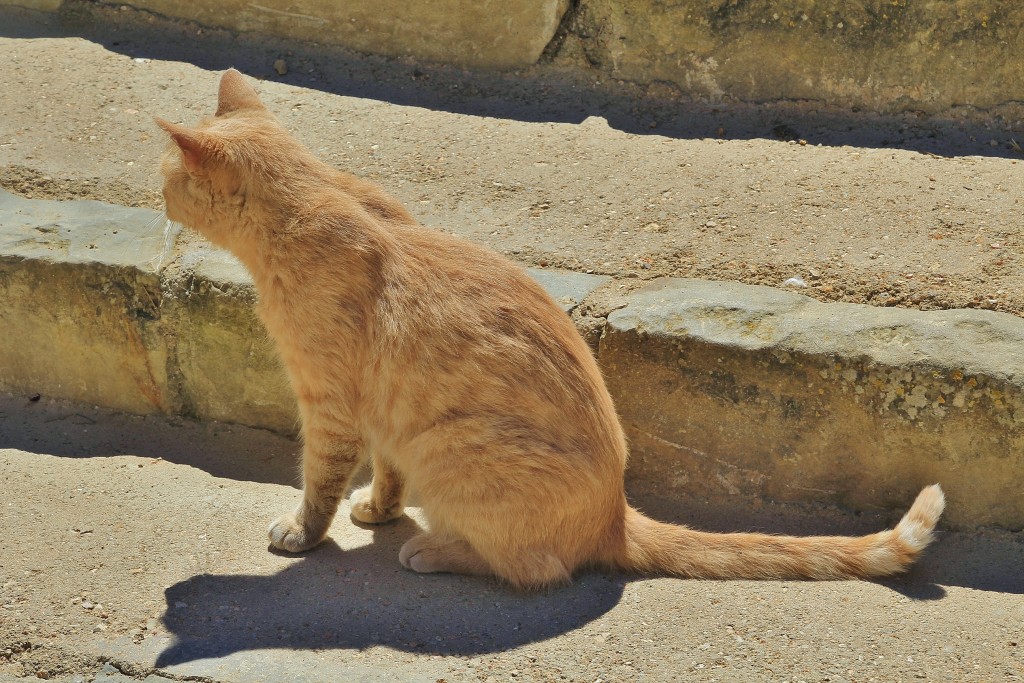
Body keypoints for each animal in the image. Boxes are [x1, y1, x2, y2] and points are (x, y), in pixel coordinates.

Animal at [155, 70, 946, 593]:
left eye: (165, 176)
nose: (154, 194)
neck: (312, 201)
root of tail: (615, 514)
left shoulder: (330, 405)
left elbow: (318, 480)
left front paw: (305, 532)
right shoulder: (381, 413)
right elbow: (386, 467)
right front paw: (380, 509)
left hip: (456, 450)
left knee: (539, 568)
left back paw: (438, 551)